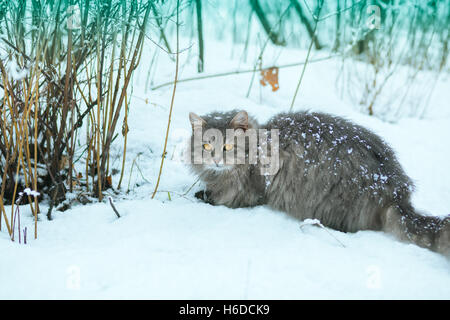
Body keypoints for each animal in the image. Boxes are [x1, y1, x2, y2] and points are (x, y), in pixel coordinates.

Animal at [188, 110, 450, 258]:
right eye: (207, 146)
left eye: (228, 146)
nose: (216, 160)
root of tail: (396, 190)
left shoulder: (247, 193)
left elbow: (219, 198)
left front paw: (200, 195)